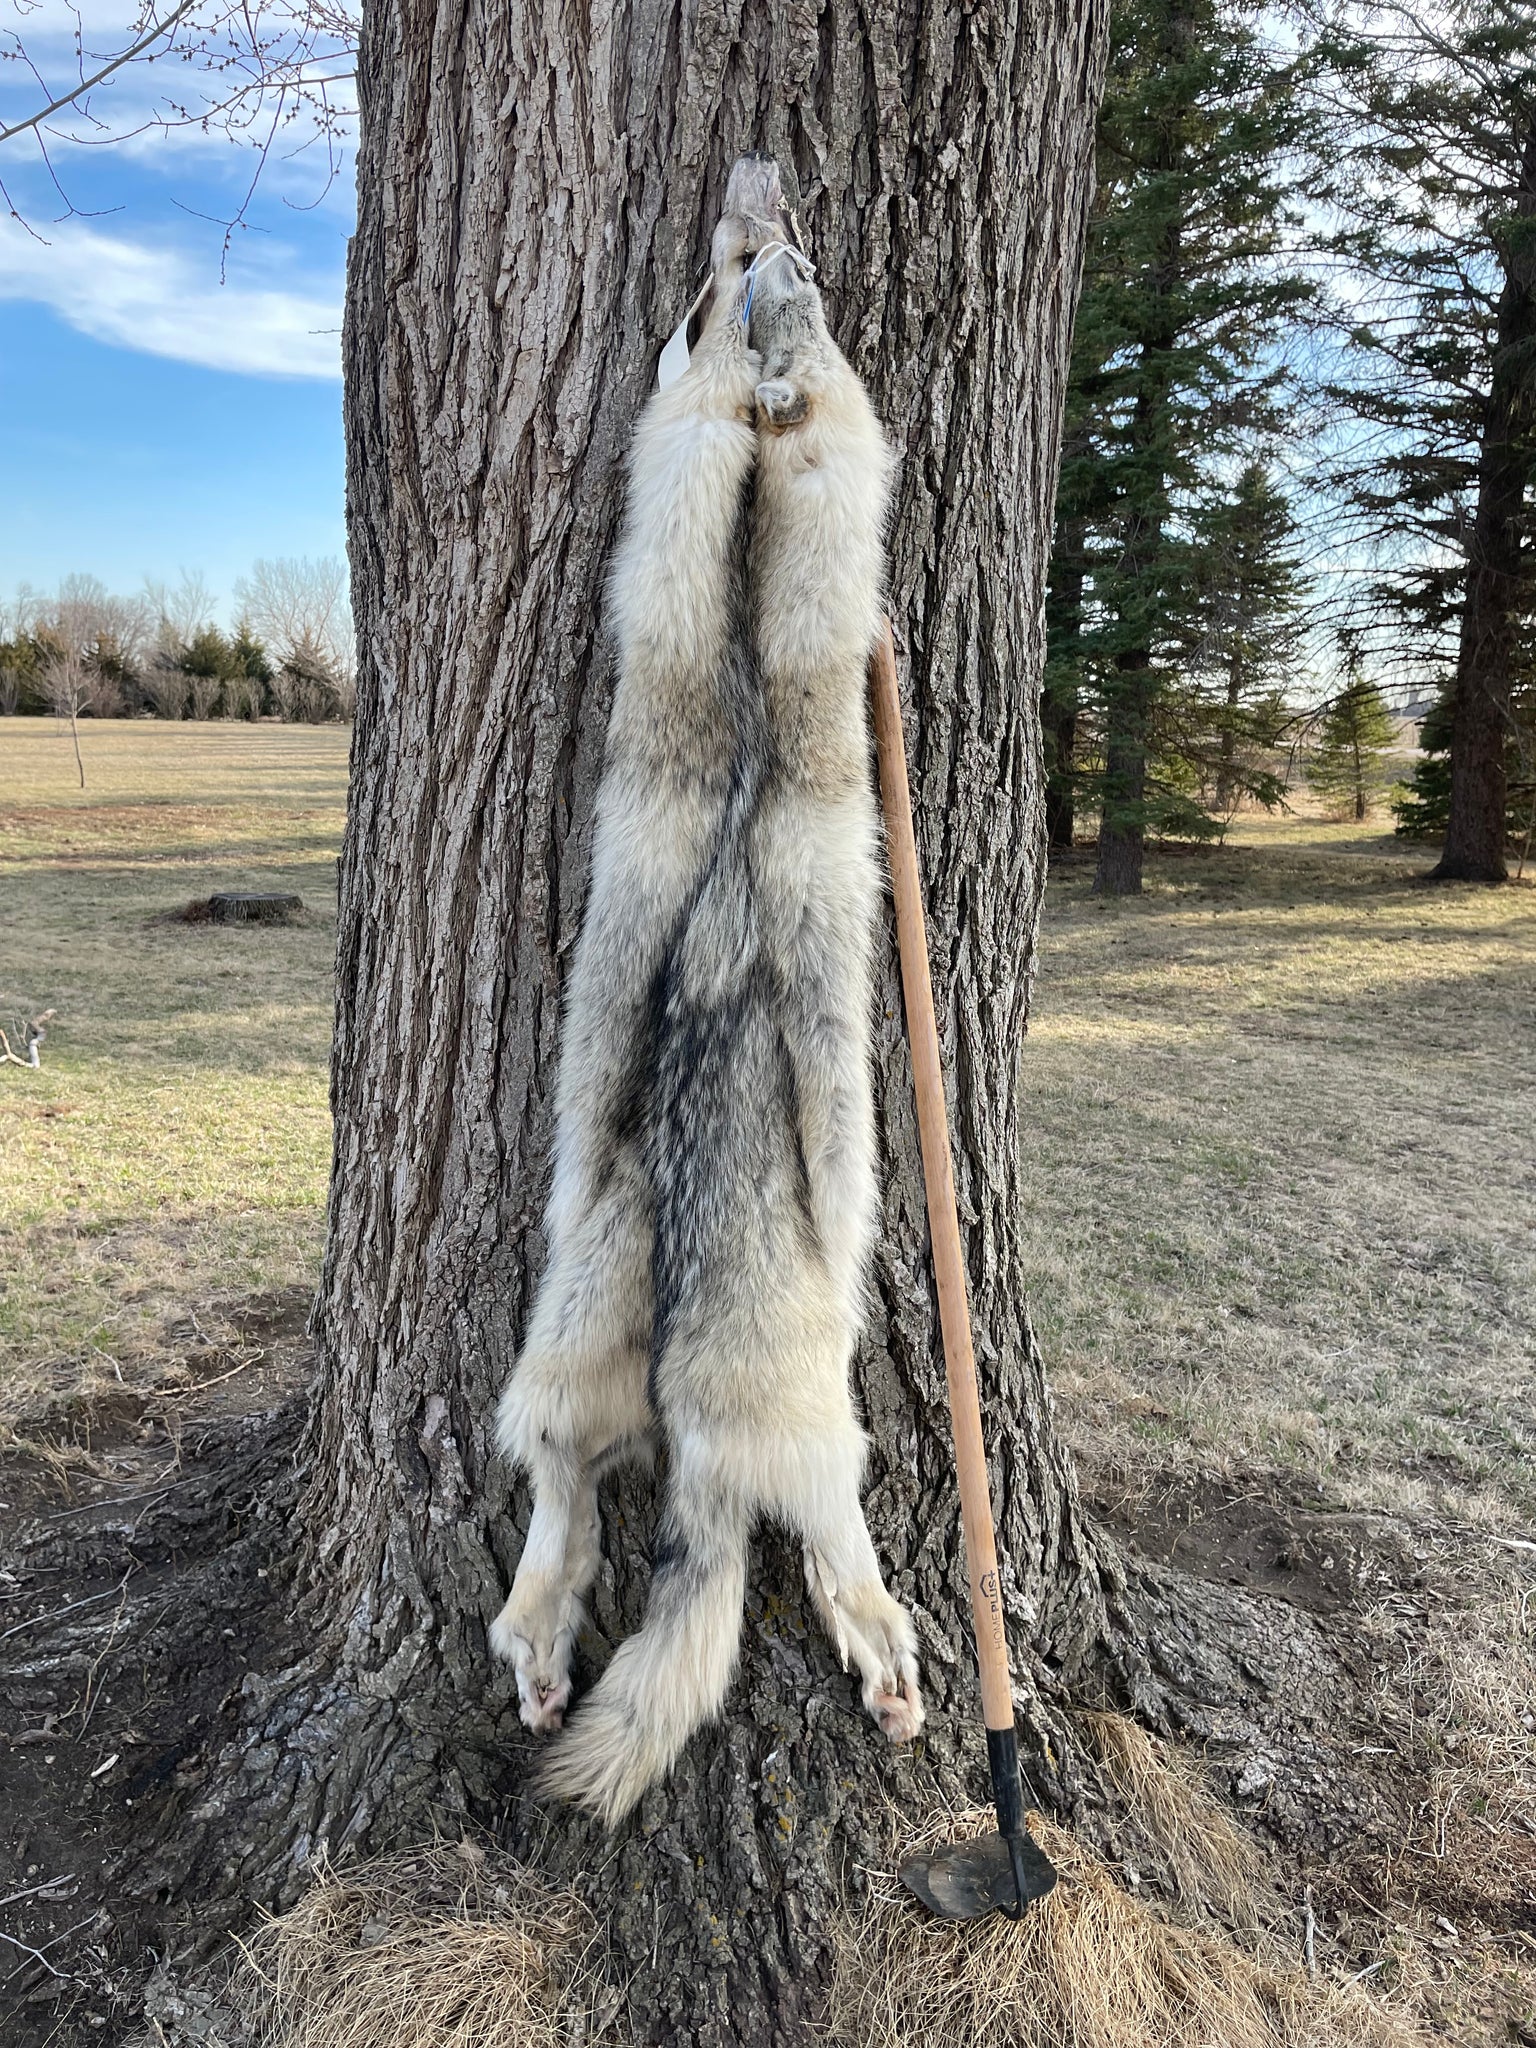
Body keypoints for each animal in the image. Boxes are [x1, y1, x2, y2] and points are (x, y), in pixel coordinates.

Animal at [488, 179, 923, 1826]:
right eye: (736, 281)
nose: (762, 185)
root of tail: (695, 1446)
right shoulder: (835, 944)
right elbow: (851, 1155)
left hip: (578, 1327)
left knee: (556, 1480)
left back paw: (541, 1644)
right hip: (815, 1434)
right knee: (829, 1538)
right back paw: (886, 1652)